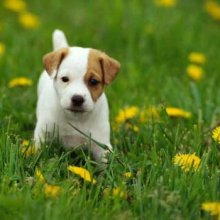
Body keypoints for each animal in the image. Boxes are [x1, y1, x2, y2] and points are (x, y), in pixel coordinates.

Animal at [33, 30, 121, 162]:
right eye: (65, 79)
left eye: (93, 81)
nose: (77, 99)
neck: (76, 118)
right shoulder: (43, 133)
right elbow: (38, 150)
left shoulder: (101, 145)